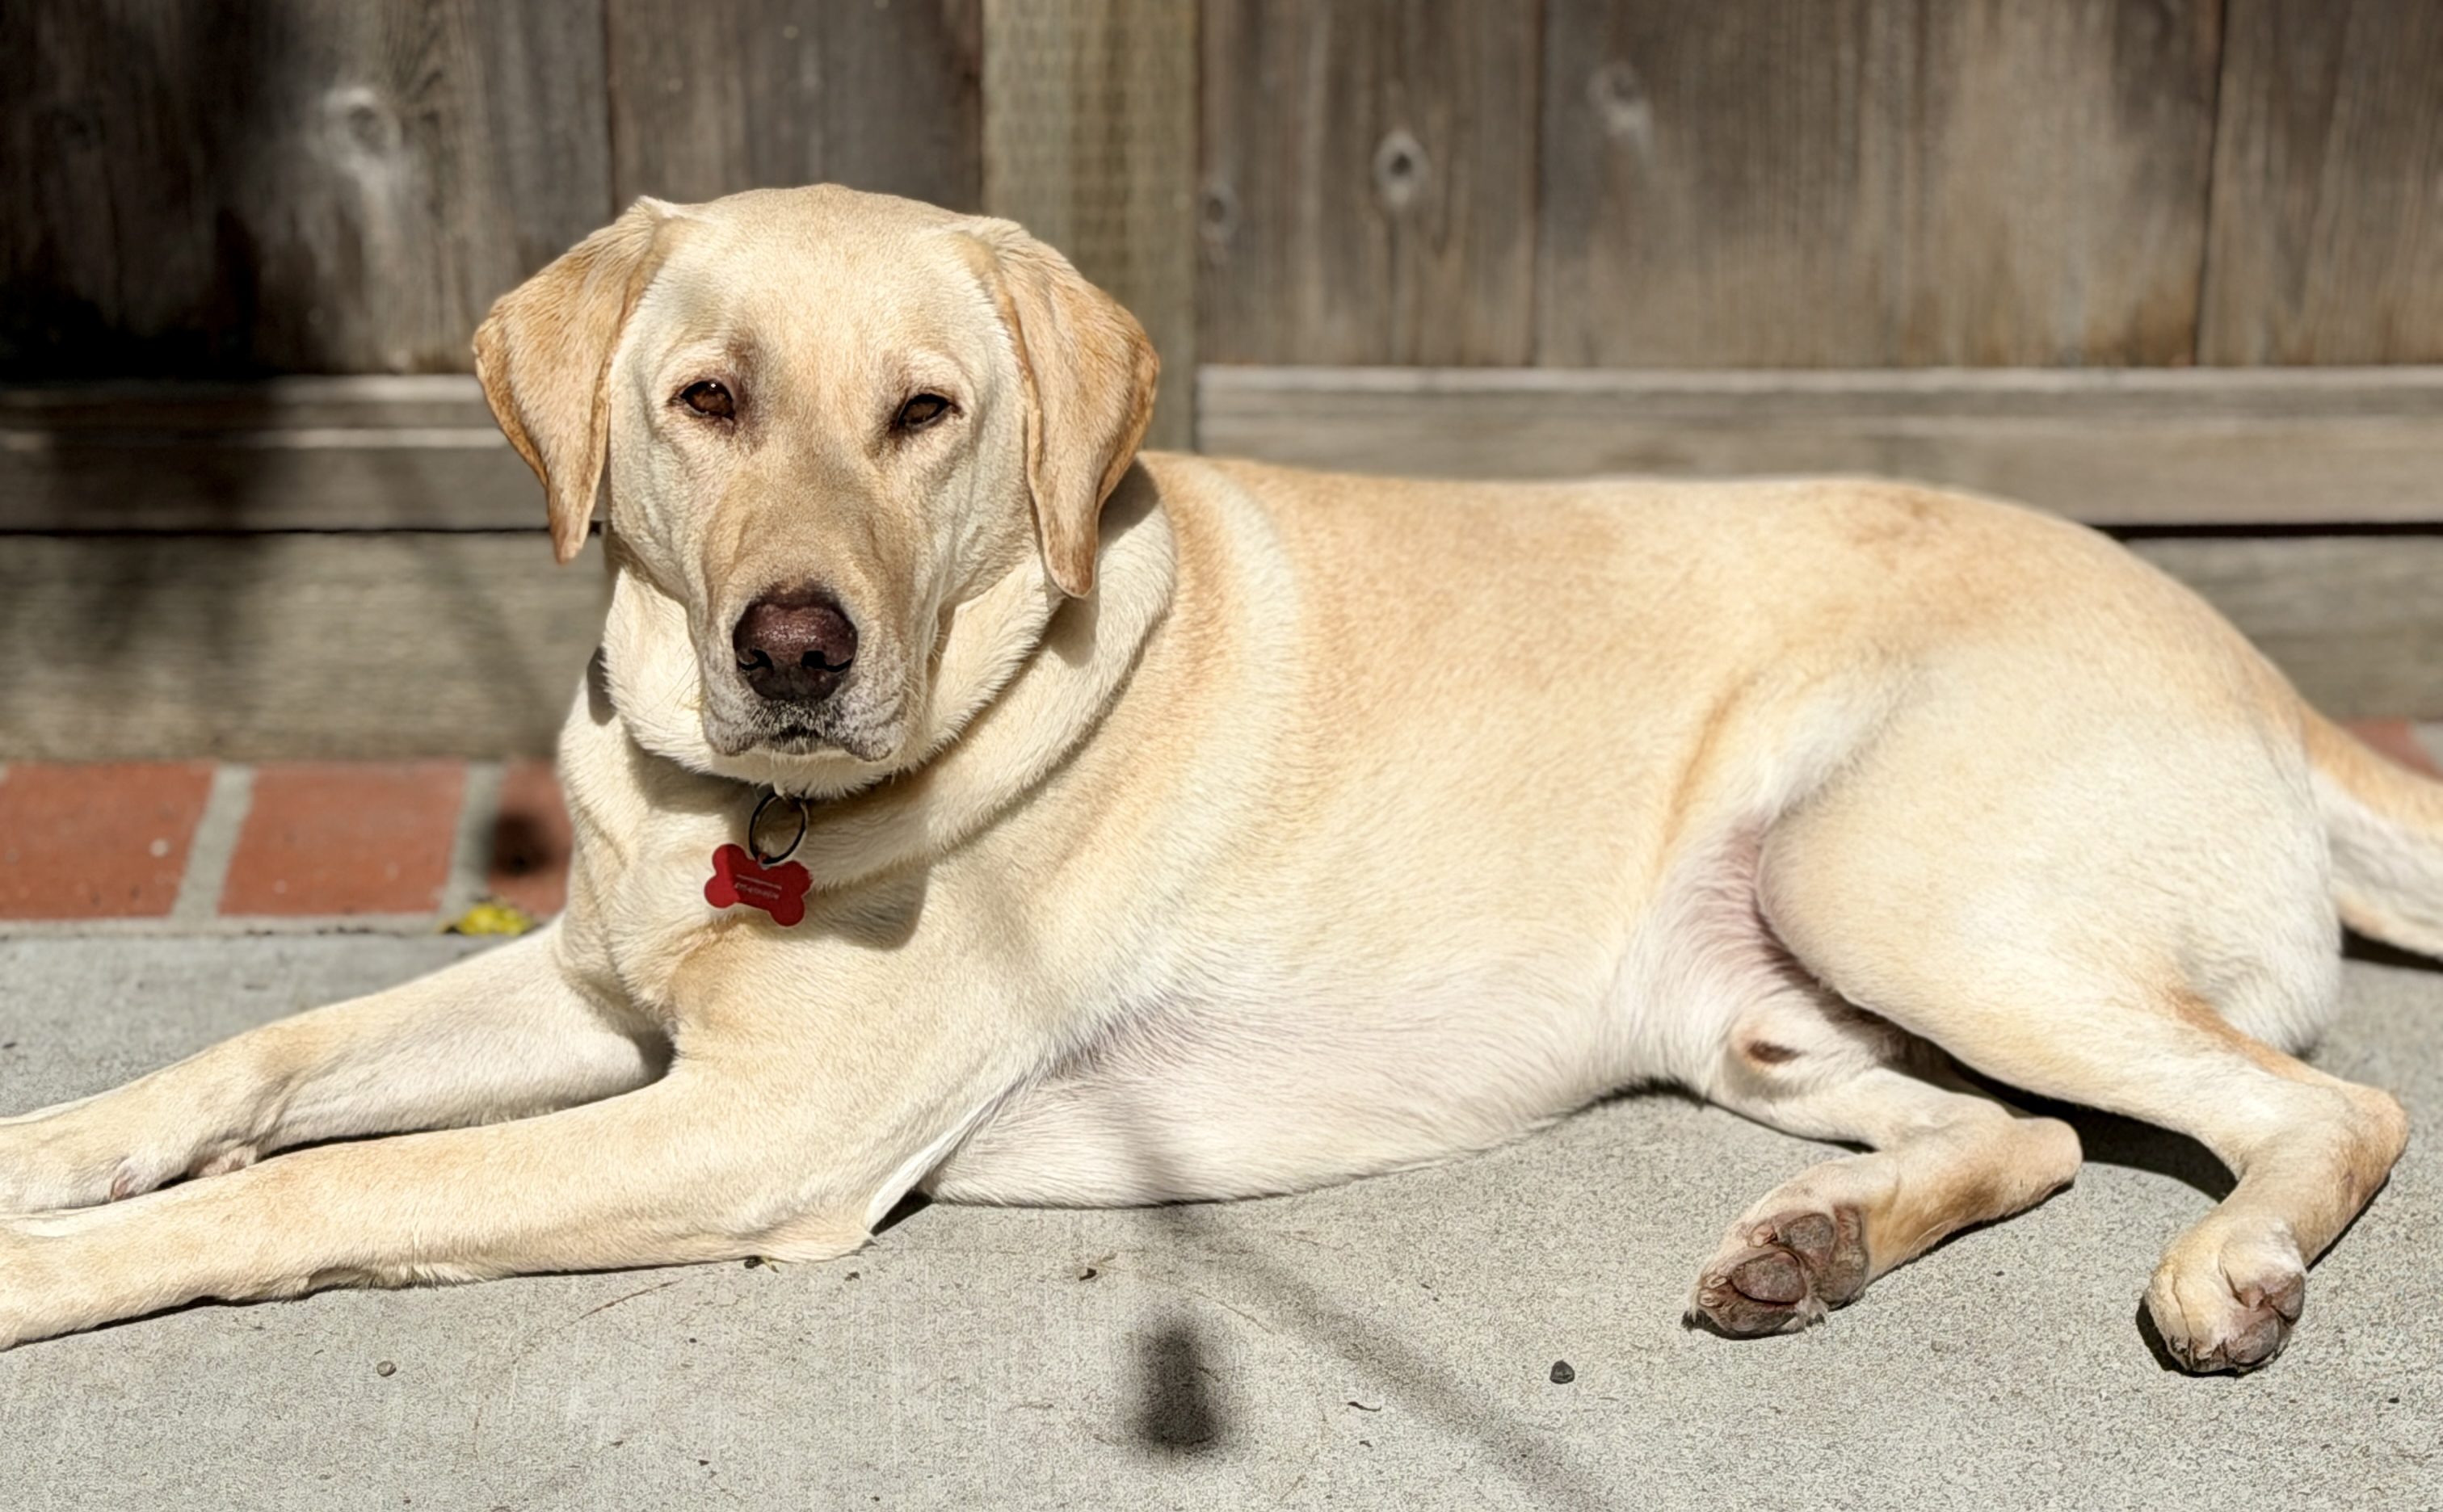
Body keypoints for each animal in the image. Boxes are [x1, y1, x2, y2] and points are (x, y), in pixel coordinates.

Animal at [0, 185, 2429, 1374]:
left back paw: (2232, 1270)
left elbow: (320, 1193)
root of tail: (2257, 663)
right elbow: (258, 1062)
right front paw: (45, 1155)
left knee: (2327, 1106)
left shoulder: (759, 1130)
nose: (798, 652)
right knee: (2022, 1136)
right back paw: (1813, 1250)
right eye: (705, 399)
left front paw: (52, 1274)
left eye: (927, 415)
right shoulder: (594, 987)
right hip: (1758, 1008)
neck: (740, 819)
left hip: (1897, 881)